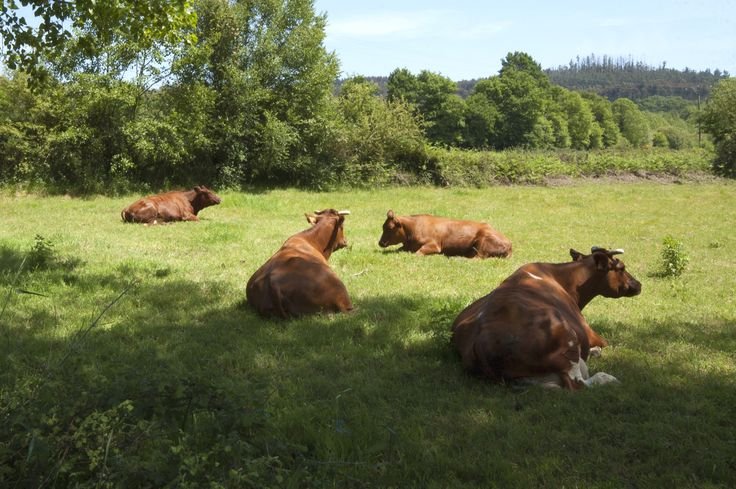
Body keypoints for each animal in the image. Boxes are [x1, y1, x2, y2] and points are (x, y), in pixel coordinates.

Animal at [378, 210, 512, 258]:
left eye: (389, 227)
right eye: (382, 226)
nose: (380, 243)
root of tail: (510, 244)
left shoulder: (434, 245)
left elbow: (418, 253)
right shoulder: (406, 246)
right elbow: (398, 249)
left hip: (483, 241)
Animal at [451, 247, 641, 390]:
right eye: (621, 268)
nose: (639, 284)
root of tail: (480, 341)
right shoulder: (591, 333)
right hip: (563, 332)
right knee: (578, 384)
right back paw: (607, 378)